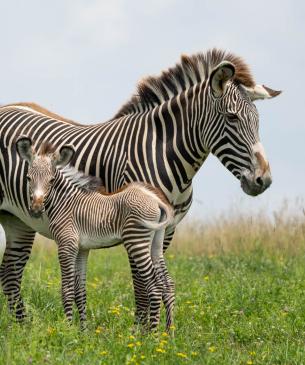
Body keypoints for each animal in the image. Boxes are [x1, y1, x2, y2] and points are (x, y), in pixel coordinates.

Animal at [16, 136, 173, 330]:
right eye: (28, 178)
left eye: (52, 180)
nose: (36, 209)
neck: (66, 202)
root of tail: (157, 200)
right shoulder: (82, 248)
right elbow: (80, 292)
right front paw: (83, 330)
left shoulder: (66, 244)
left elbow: (67, 289)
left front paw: (68, 328)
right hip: (156, 242)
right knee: (167, 285)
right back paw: (169, 332)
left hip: (136, 240)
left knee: (154, 287)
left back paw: (152, 333)